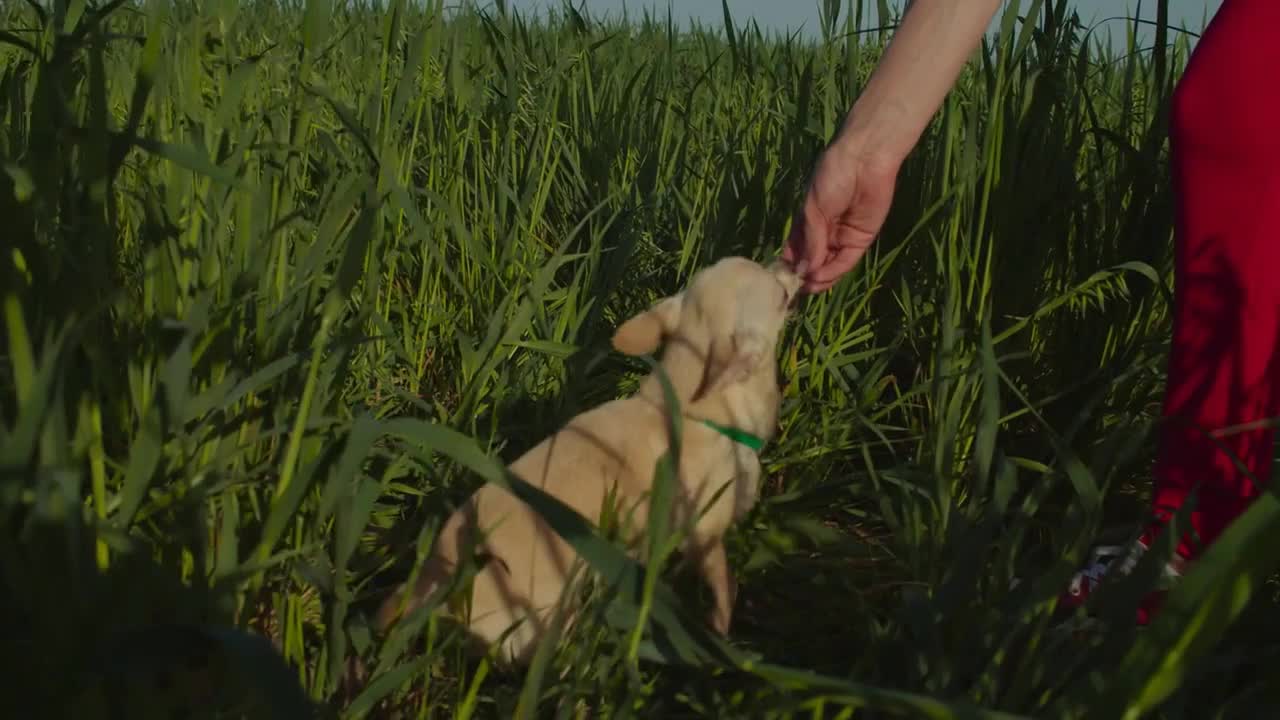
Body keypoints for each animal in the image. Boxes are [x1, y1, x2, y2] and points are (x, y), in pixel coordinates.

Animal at [373, 254, 803, 666]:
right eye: (781, 295)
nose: (791, 261)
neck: (685, 407)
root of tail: (433, 581)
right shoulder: (706, 535)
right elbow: (724, 586)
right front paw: (721, 635)